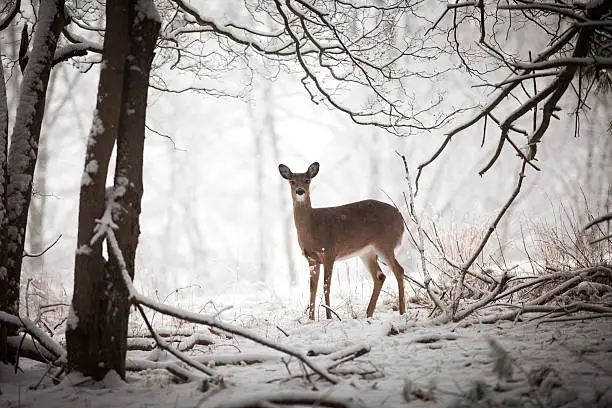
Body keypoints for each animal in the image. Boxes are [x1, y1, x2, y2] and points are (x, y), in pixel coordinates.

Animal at [280, 162, 406, 318]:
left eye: (307, 180)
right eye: (292, 181)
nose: (300, 191)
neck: (313, 225)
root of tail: (401, 218)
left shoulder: (329, 251)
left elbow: (326, 286)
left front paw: (329, 317)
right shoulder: (311, 258)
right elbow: (312, 289)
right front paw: (310, 319)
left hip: (385, 244)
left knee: (399, 270)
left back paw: (402, 312)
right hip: (367, 252)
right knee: (380, 276)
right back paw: (368, 314)